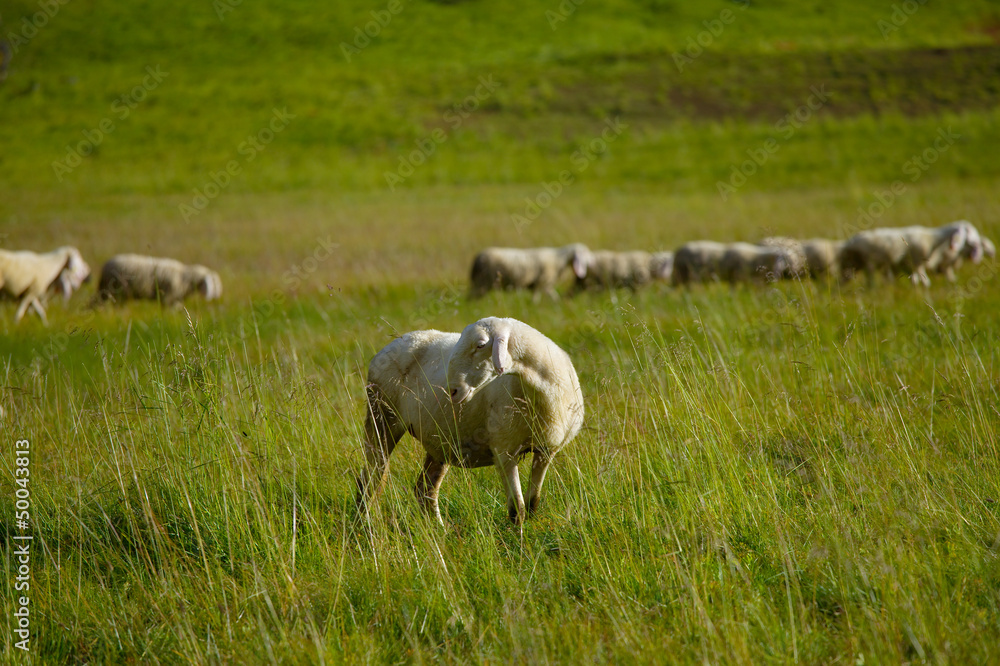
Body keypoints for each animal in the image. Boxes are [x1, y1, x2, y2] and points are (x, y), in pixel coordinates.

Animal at [356, 316, 585, 526]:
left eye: (481, 345)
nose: (451, 391)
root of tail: (395, 342)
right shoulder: (504, 451)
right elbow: (516, 510)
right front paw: (517, 542)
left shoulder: (546, 451)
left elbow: (532, 504)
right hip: (381, 417)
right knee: (369, 479)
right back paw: (364, 526)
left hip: (440, 440)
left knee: (425, 490)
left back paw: (441, 531)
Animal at [839, 222, 970, 286]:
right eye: (960, 236)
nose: (956, 248)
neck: (932, 239)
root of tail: (850, 242)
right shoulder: (917, 261)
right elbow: (924, 281)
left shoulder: (912, 265)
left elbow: (915, 280)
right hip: (866, 262)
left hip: (855, 264)